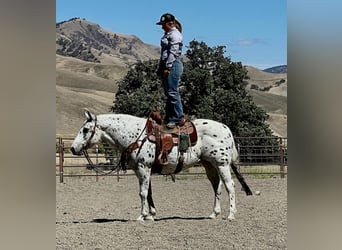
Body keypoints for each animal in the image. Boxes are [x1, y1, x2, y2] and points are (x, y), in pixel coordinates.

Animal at [70, 110, 251, 222]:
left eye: (85, 130)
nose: (73, 148)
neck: (135, 136)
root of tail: (226, 129)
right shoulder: (142, 170)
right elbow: (148, 192)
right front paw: (151, 214)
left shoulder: (144, 167)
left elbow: (142, 193)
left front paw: (142, 216)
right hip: (209, 165)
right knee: (217, 186)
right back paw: (214, 213)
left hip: (222, 164)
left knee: (230, 186)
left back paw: (231, 215)